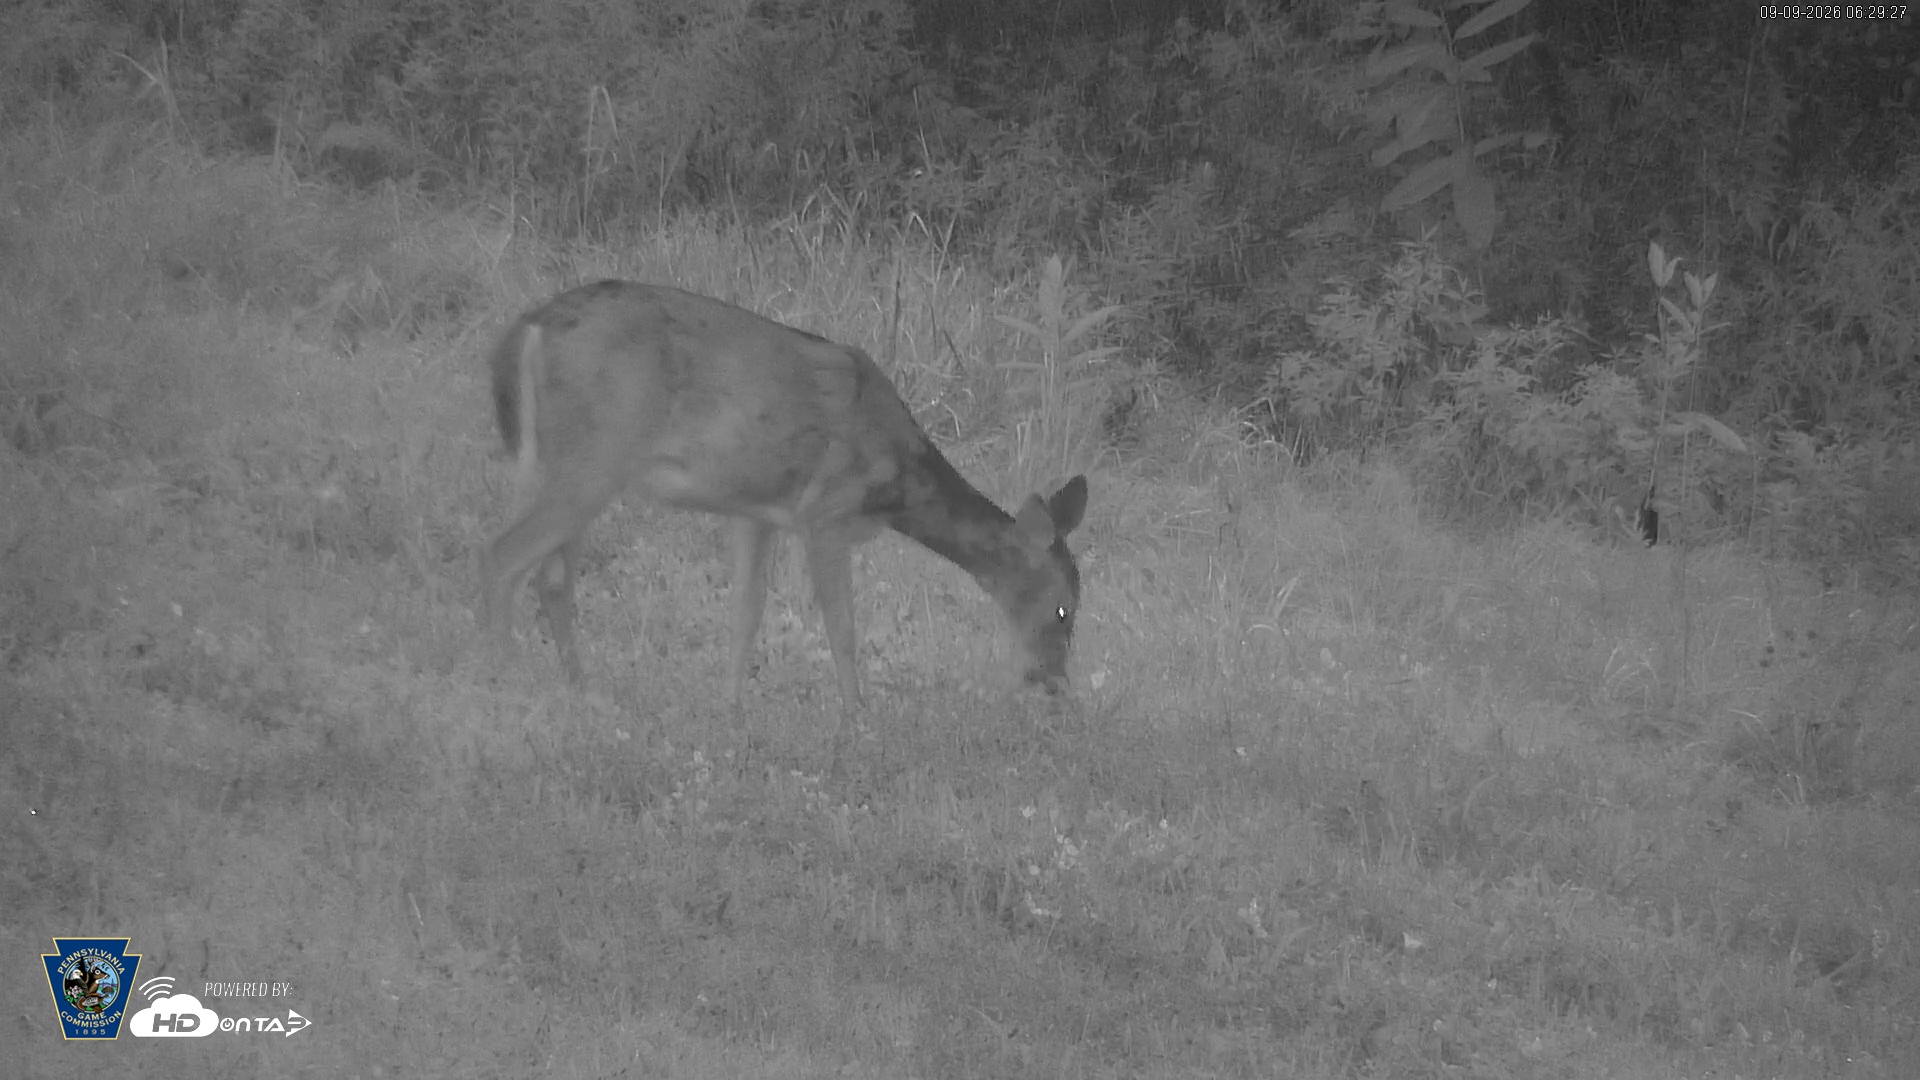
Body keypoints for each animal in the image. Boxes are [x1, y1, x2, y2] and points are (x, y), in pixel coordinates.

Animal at [478, 282, 1089, 714]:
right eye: (1064, 609)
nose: (1052, 681)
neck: (894, 480)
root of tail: (530, 327)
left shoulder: (756, 511)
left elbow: (746, 611)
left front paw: (730, 709)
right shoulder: (826, 513)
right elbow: (842, 626)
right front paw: (856, 718)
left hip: (556, 464)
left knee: (550, 576)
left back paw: (581, 687)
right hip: (594, 456)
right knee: (502, 557)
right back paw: (506, 678)